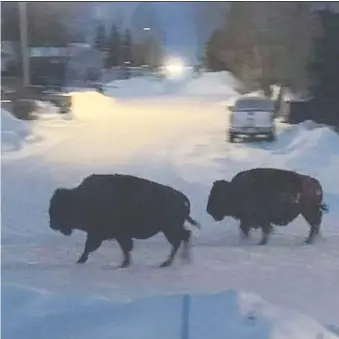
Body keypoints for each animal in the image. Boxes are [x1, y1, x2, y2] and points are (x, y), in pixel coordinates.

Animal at [49, 175, 201, 268]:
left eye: (60, 209)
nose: (52, 224)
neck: (81, 200)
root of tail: (183, 198)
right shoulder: (115, 235)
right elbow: (124, 249)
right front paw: (125, 263)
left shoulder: (104, 234)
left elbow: (91, 247)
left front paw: (80, 261)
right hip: (170, 229)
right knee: (185, 236)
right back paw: (180, 260)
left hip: (169, 229)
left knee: (179, 240)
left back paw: (167, 263)